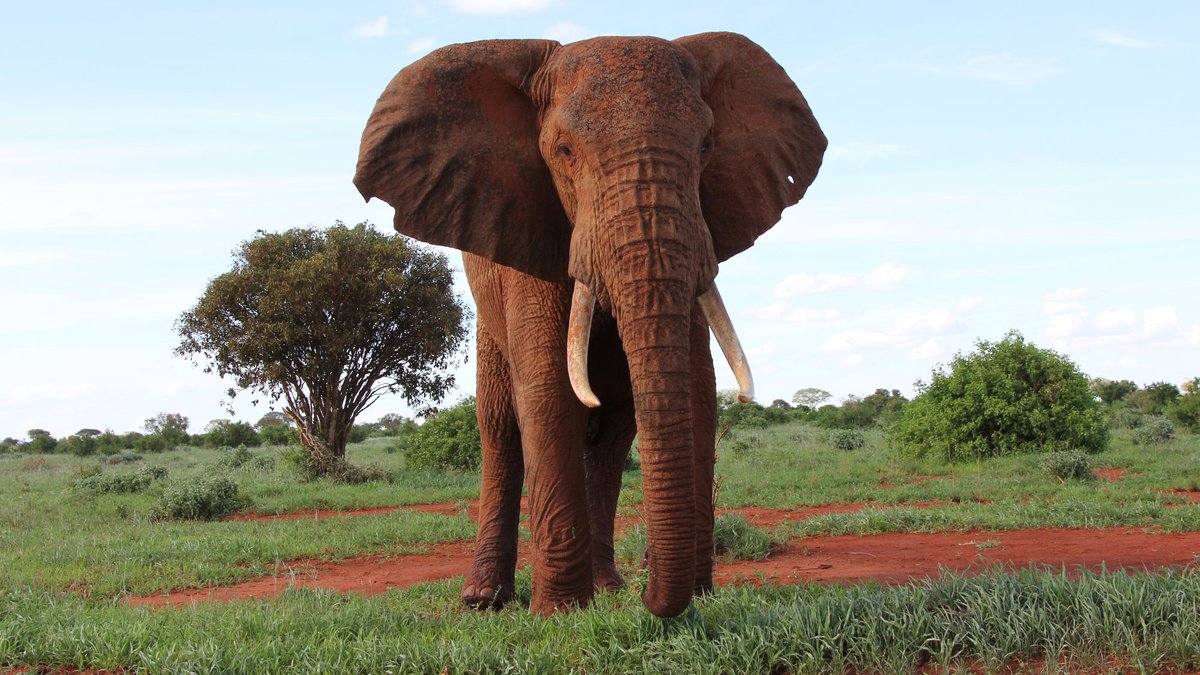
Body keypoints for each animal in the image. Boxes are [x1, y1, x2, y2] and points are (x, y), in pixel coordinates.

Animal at [354, 32, 825, 617]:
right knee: (500, 425)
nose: (652, 592)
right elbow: (548, 391)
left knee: (612, 434)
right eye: (564, 151)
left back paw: (608, 587)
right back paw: (484, 599)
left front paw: (695, 597)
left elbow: (696, 387)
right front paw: (559, 614)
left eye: (706, 147)